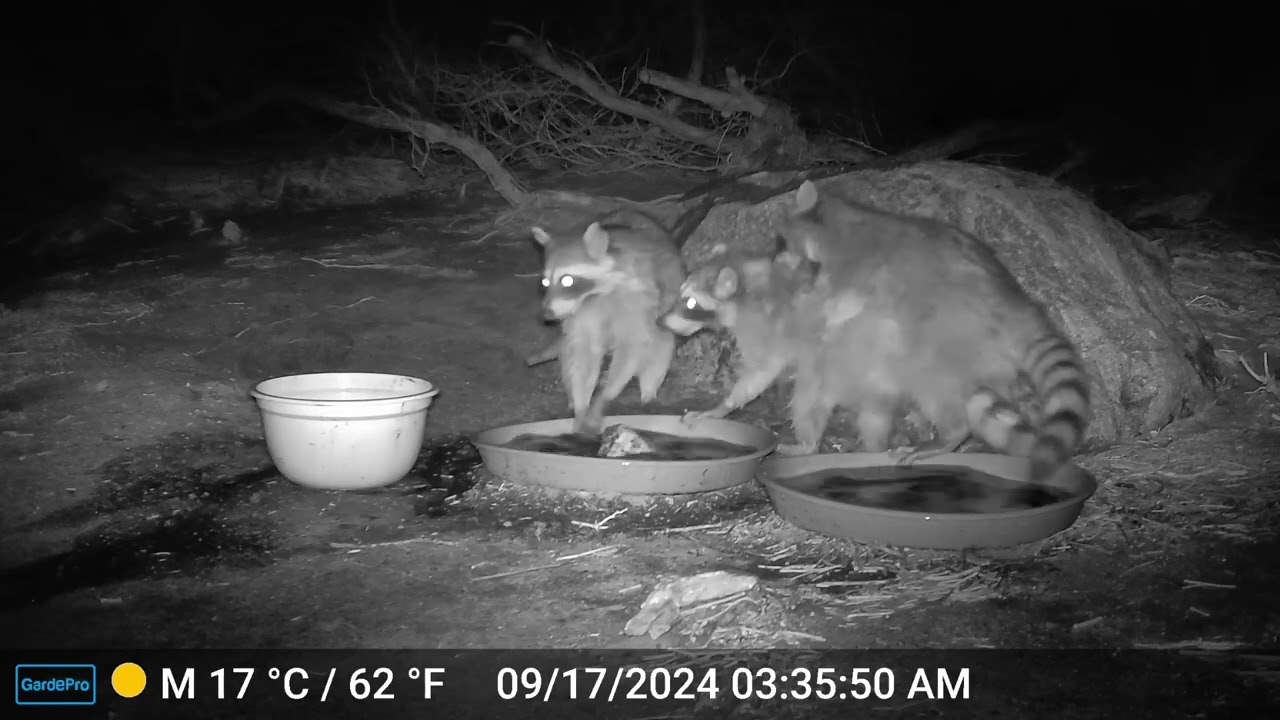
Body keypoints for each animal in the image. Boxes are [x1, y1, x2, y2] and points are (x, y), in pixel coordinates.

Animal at [531, 208, 686, 435]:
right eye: (544, 282)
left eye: (566, 280)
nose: (546, 315)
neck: (593, 295)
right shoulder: (578, 314)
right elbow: (584, 352)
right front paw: (581, 406)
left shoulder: (637, 300)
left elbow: (632, 347)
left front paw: (603, 397)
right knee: (568, 351)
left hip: (664, 302)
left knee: (660, 345)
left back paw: (648, 391)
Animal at [775, 179, 1092, 482]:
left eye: (781, 242)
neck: (834, 227)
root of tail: (1016, 307)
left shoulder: (859, 270)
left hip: (941, 337)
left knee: (934, 390)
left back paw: (949, 433)